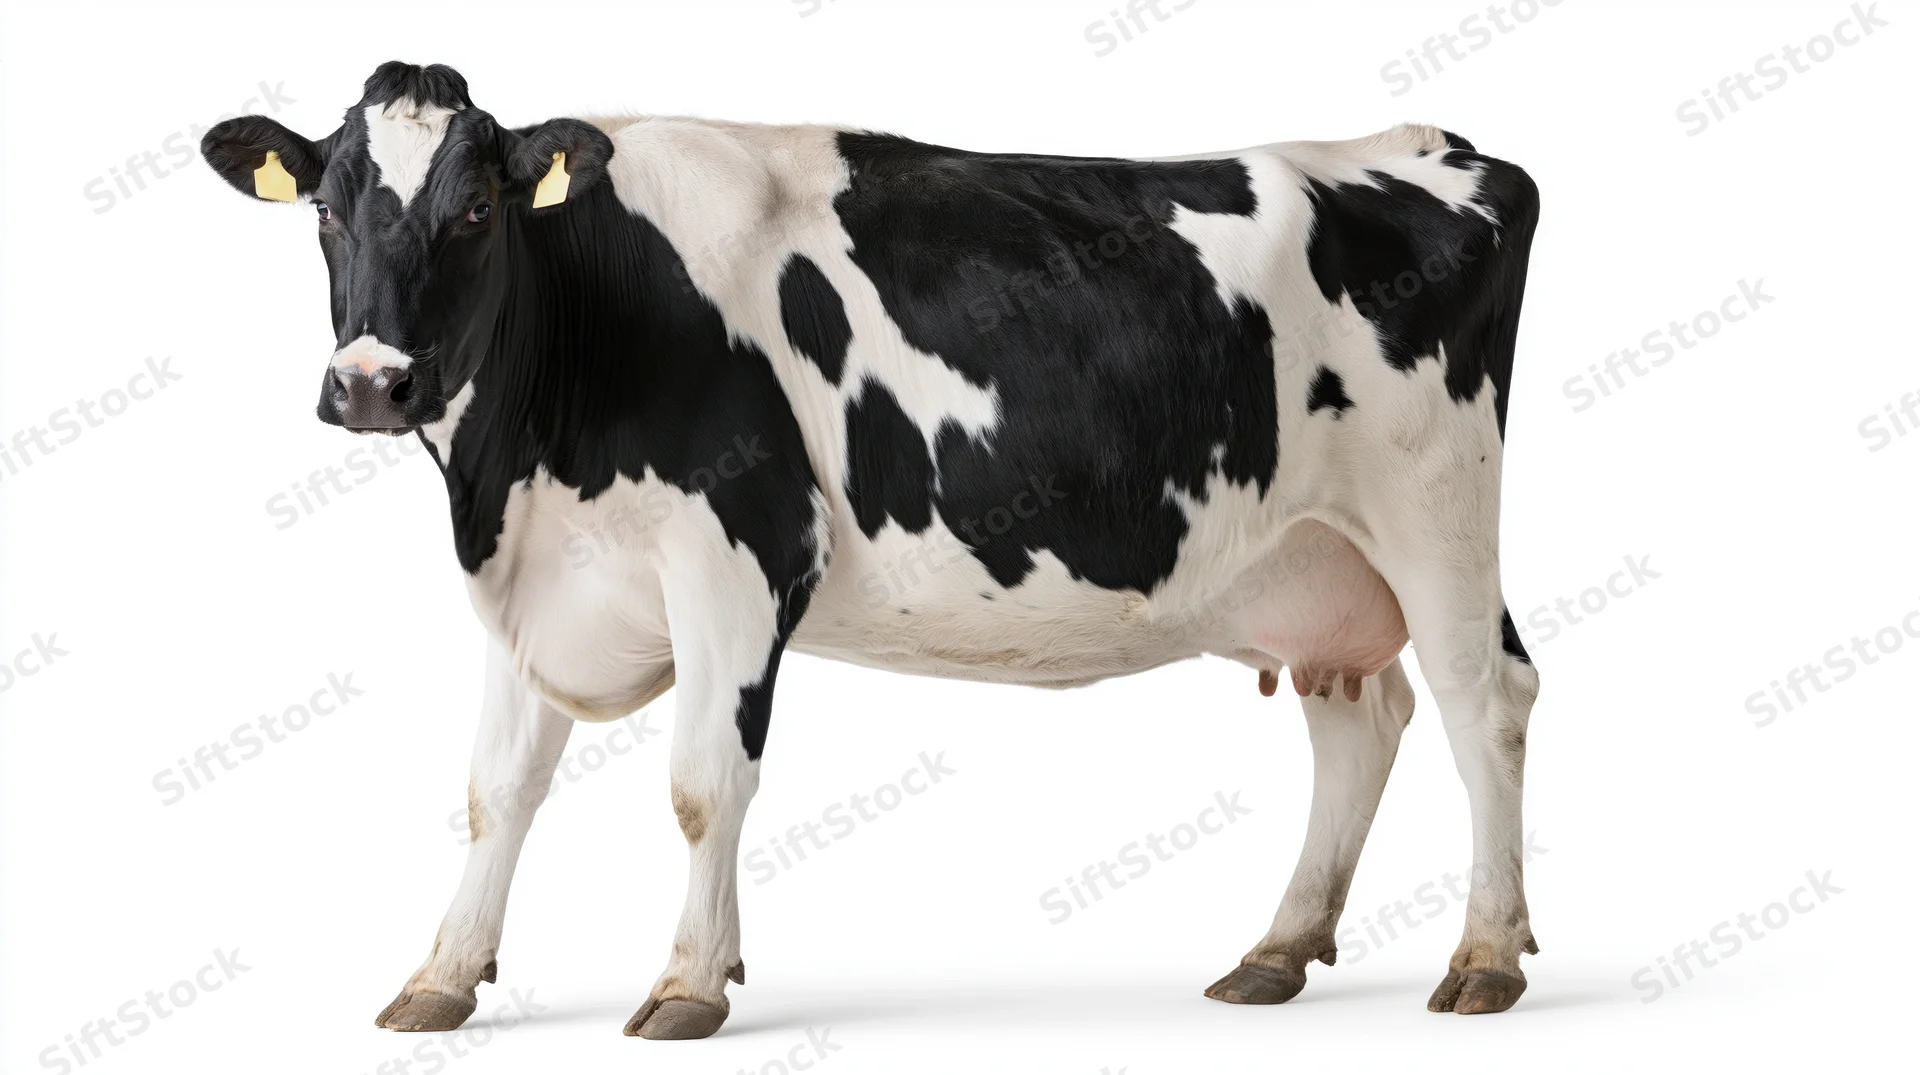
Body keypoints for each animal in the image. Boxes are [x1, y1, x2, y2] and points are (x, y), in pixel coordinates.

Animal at [201, 61, 1543, 1038]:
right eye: (325, 210)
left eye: (476, 209)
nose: (369, 384)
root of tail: (1434, 146)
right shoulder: (542, 582)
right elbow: (495, 790)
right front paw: (440, 975)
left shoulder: (741, 556)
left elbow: (702, 783)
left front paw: (689, 982)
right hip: (1313, 561)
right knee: (1359, 719)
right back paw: (1277, 949)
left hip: (1436, 510)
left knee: (1485, 700)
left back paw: (1486, 955)